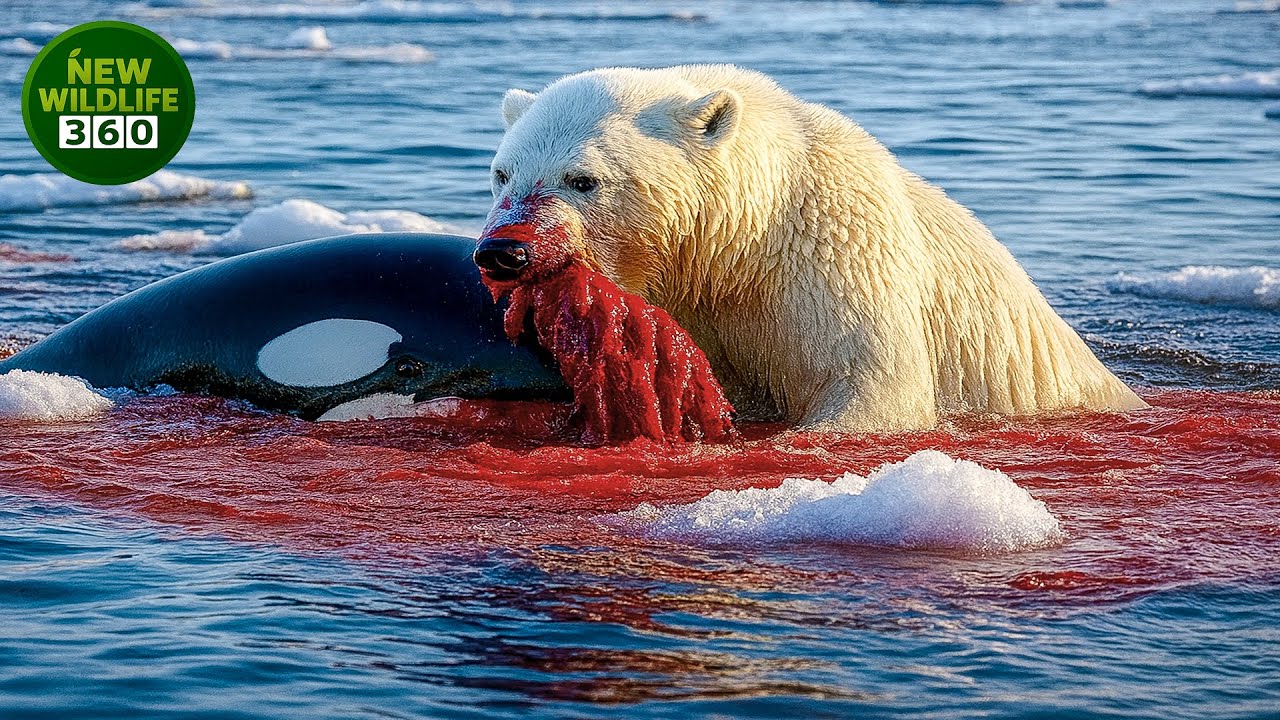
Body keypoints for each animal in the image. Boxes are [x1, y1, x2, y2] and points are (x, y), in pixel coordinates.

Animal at [481, 64, 1147, 432]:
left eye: (582, 179)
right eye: (503, 173)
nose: (503, 251)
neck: (735, 244)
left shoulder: (837, 249)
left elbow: (874, 381)